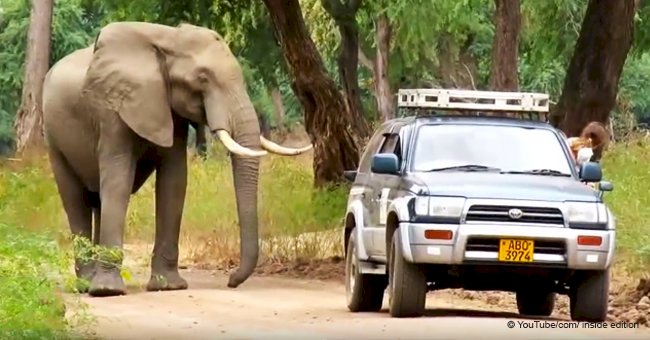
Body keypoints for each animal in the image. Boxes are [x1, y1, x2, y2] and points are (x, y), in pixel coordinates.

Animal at [42, 21, 312, 298]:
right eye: (202, 79)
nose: (231, 280)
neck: (169, 38)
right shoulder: (112, 109)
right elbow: (118, 180)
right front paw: (108, 291)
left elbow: (174, 180)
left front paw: (168, 287)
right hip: (53, 138)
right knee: (75, 200)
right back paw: (87, 286)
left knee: (95, 200)